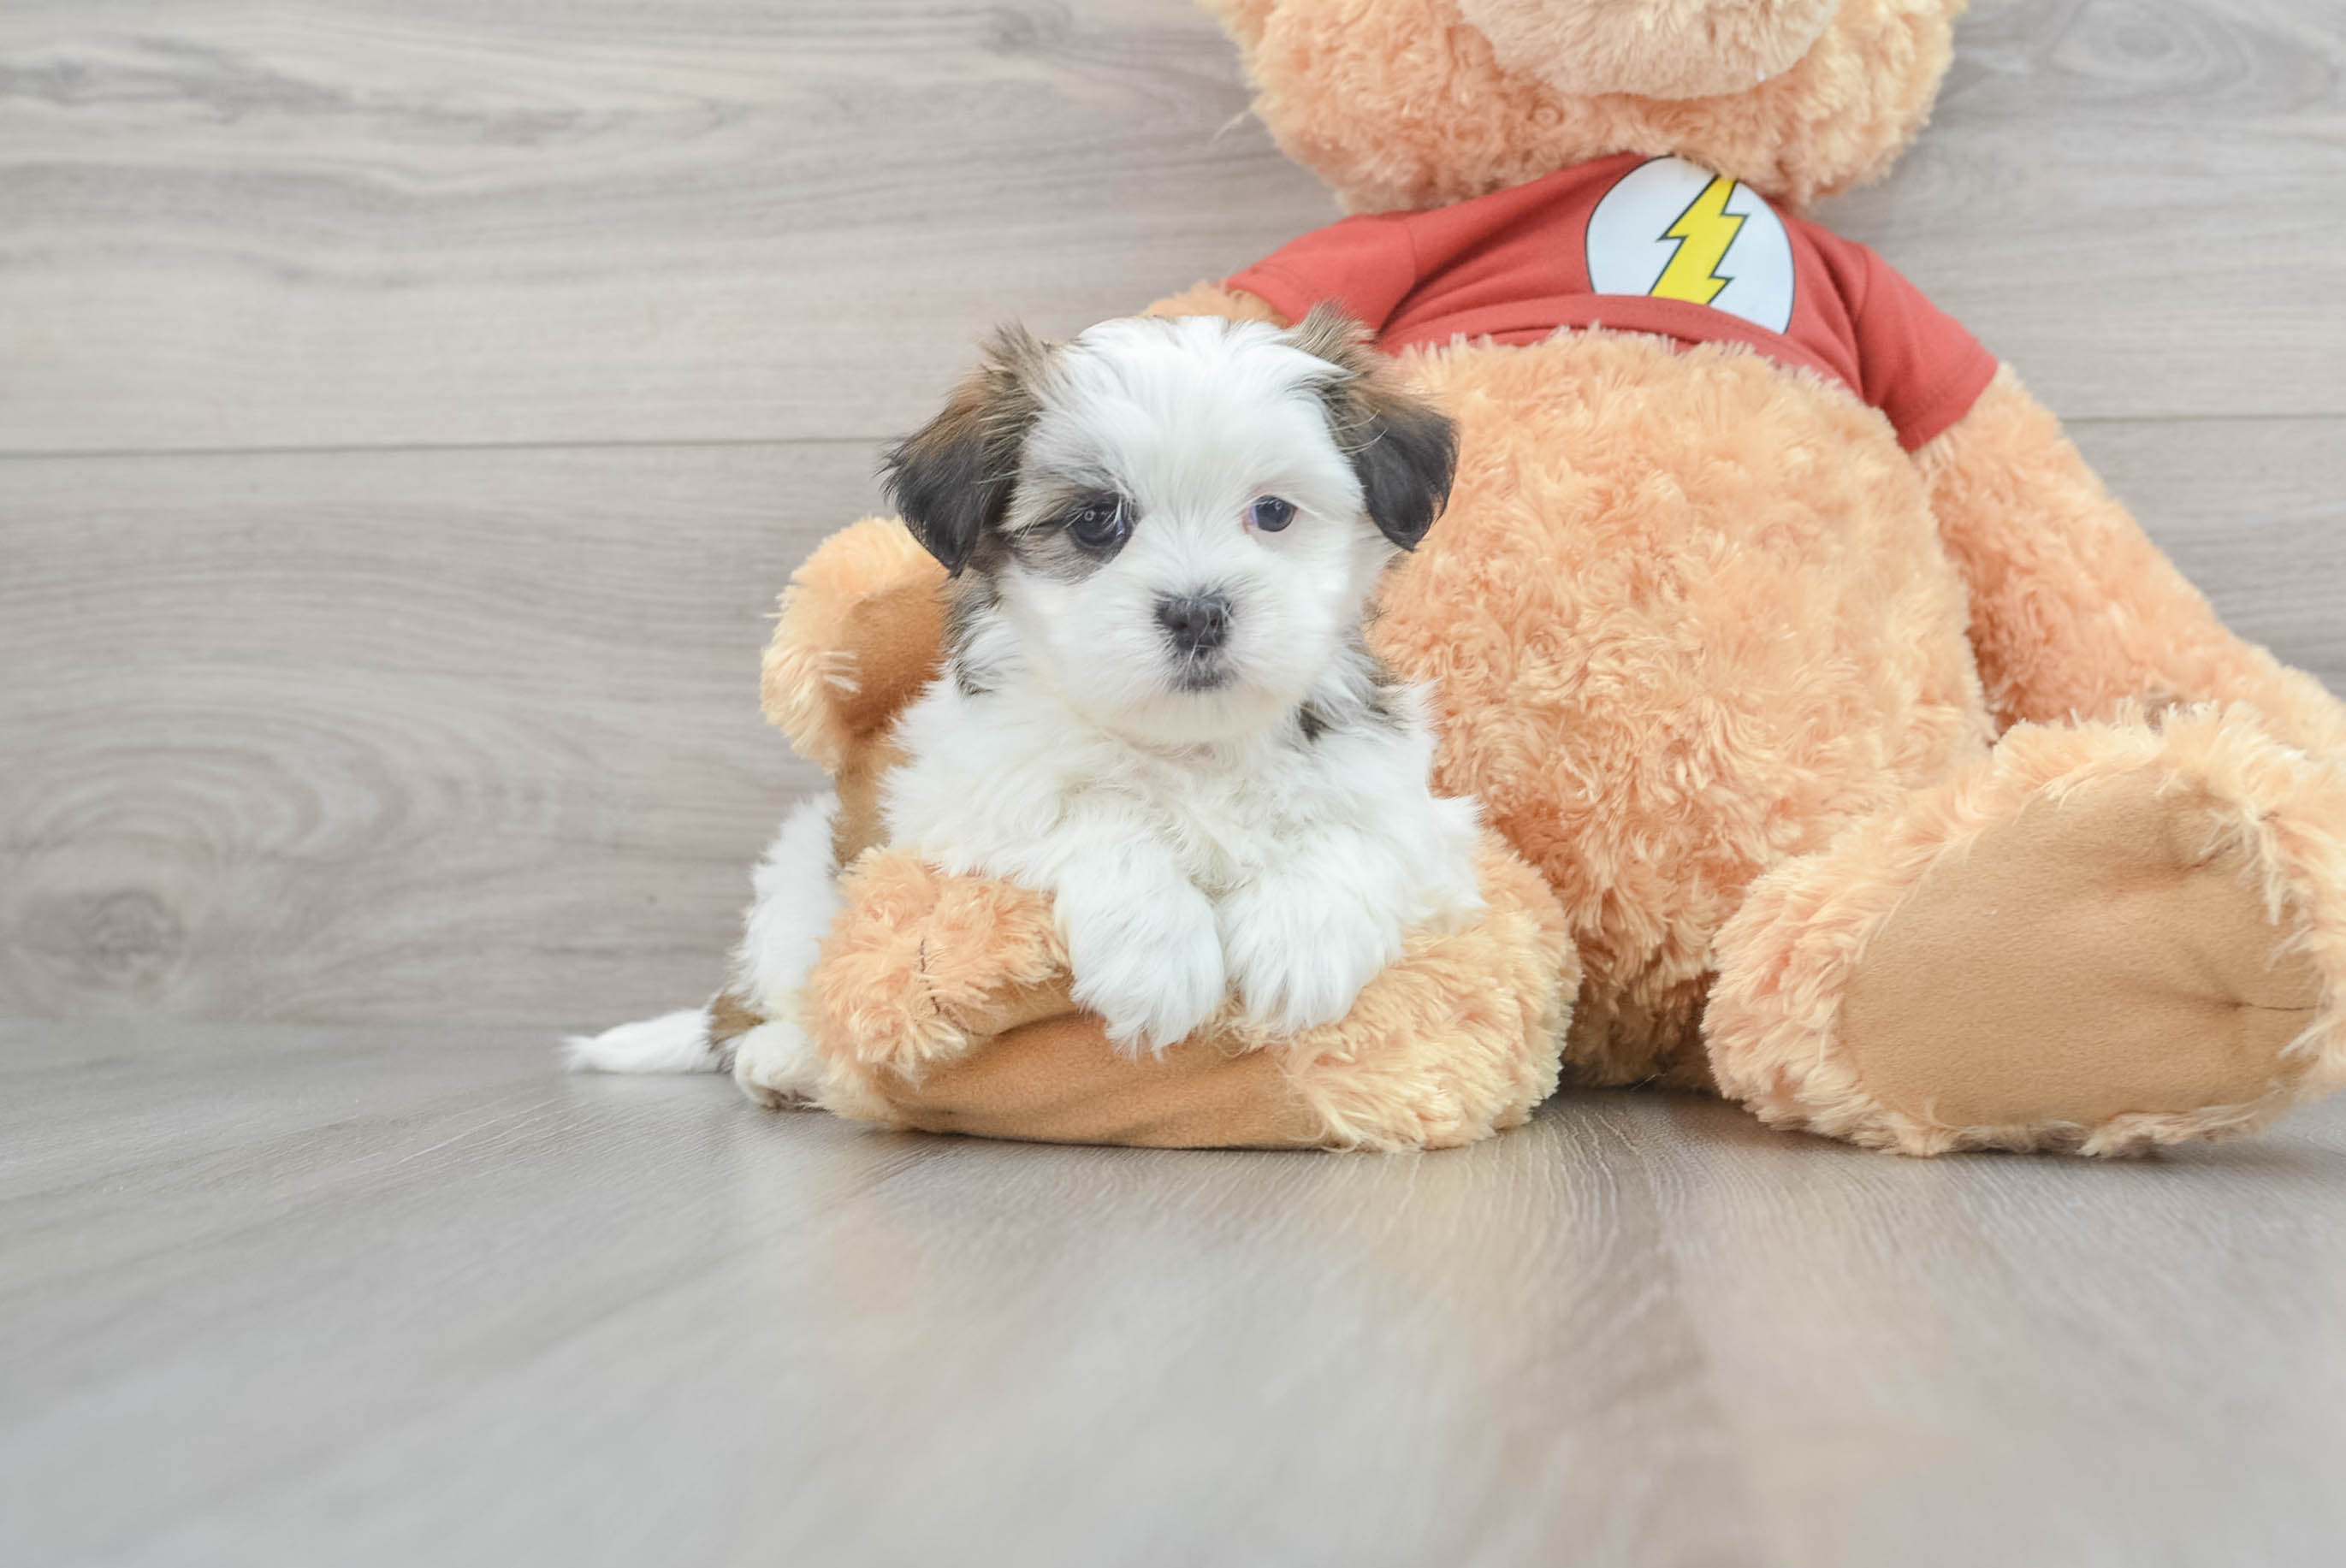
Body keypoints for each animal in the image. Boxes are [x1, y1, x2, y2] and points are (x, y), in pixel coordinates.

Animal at [570, 311, 1482, 1108]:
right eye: (1096, 519)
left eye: (1274, 512)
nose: (1197, 611)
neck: (1186, 747)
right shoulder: (957, 803)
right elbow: (1094, 818)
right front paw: (1159, 952)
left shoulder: (1419, 812)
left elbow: (1357, 834)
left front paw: (1302, 940)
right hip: (803, 881)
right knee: (783, 995)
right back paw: (783, 1057)